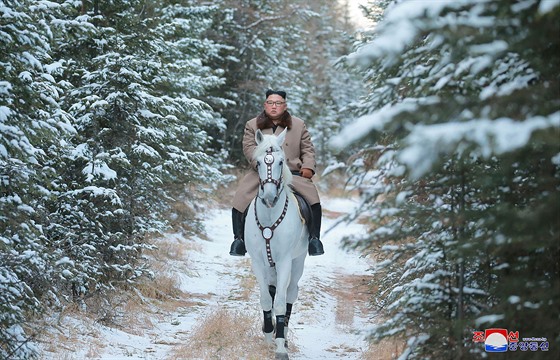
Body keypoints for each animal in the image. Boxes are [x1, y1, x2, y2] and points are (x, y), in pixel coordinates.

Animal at [244, 128, 308, 358]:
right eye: (258, 163)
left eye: (281, 162)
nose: (270, 197)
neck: (270, 216)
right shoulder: (257, 262)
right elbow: (265, 299)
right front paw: (268, 335)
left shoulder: (284, 262)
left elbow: (280, 303)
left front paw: (280, 346)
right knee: (272, 292)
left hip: (297, 262)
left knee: (290, 294)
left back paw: (285, 335)